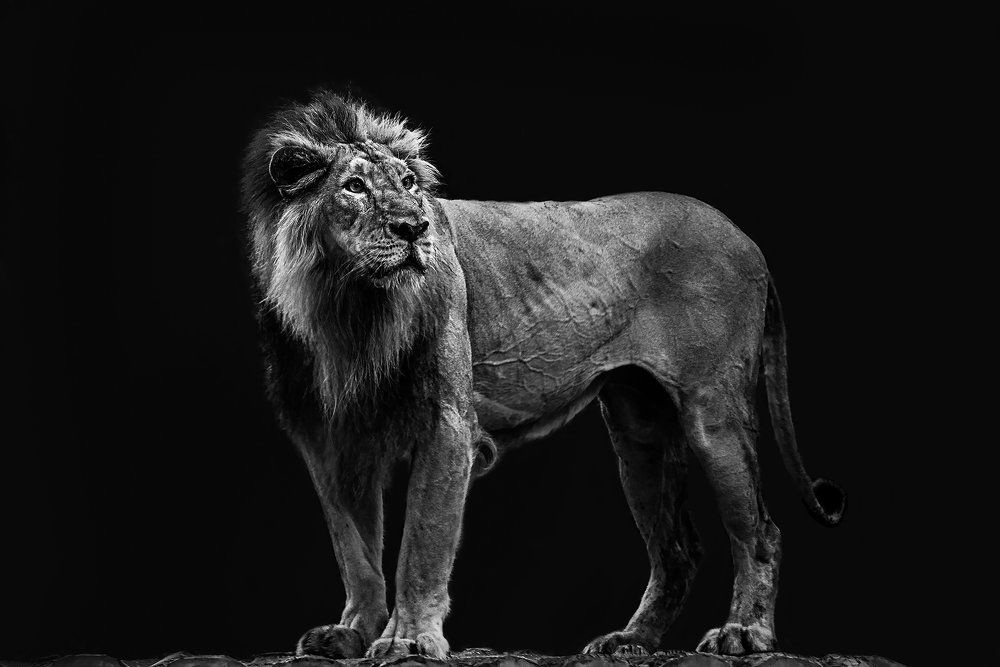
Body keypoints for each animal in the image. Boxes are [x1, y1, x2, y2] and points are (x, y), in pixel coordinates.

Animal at [240, 90, 845, 660]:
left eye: (410, 183)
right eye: (354, 187)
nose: (414, 227)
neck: (349, 309)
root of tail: (745, 236)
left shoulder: (447, 423)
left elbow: (421, 542)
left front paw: (408, 639)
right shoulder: (329, 440)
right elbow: (355, 550)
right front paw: (352, 633)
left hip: (712, 410)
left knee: (760, 531)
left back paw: (744, 633)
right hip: (639, 432)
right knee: (677, 551)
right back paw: (630, 641)